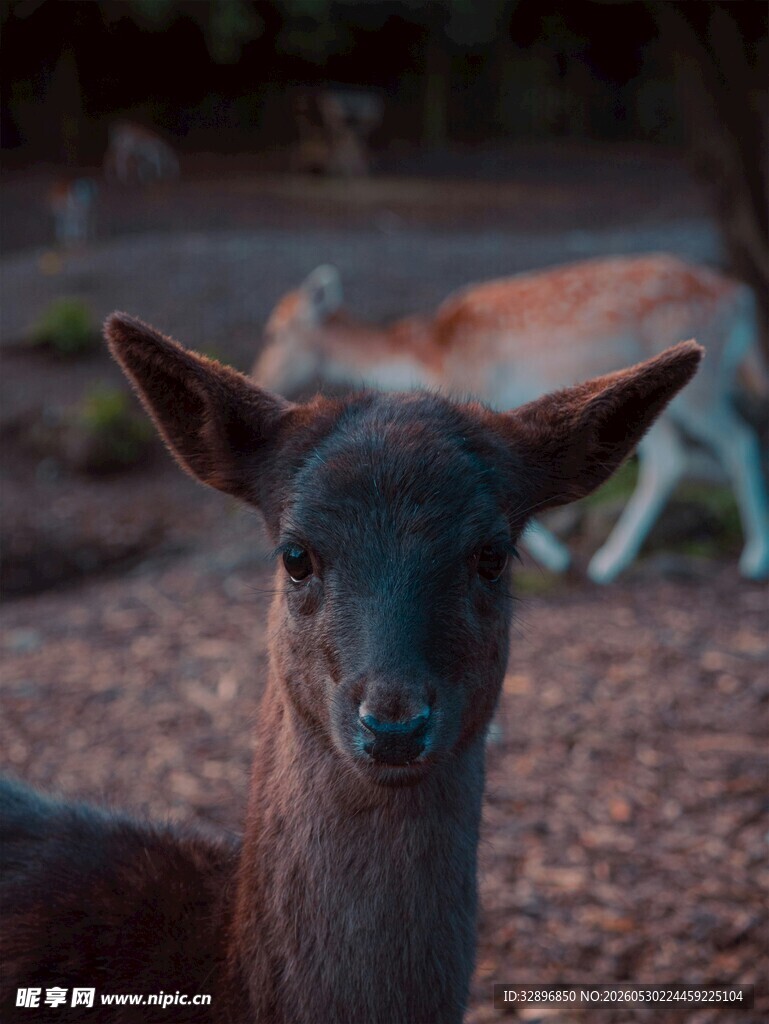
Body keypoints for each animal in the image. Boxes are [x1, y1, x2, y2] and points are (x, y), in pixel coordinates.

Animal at [254, 255, 769, 583]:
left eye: (276, 331)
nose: (259, 374)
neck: (431, 355)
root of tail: (744, 302)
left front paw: (556, 560)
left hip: (698, 387)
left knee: (734, 442)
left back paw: (746, 559)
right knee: (674, 458)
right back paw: (612, 561)